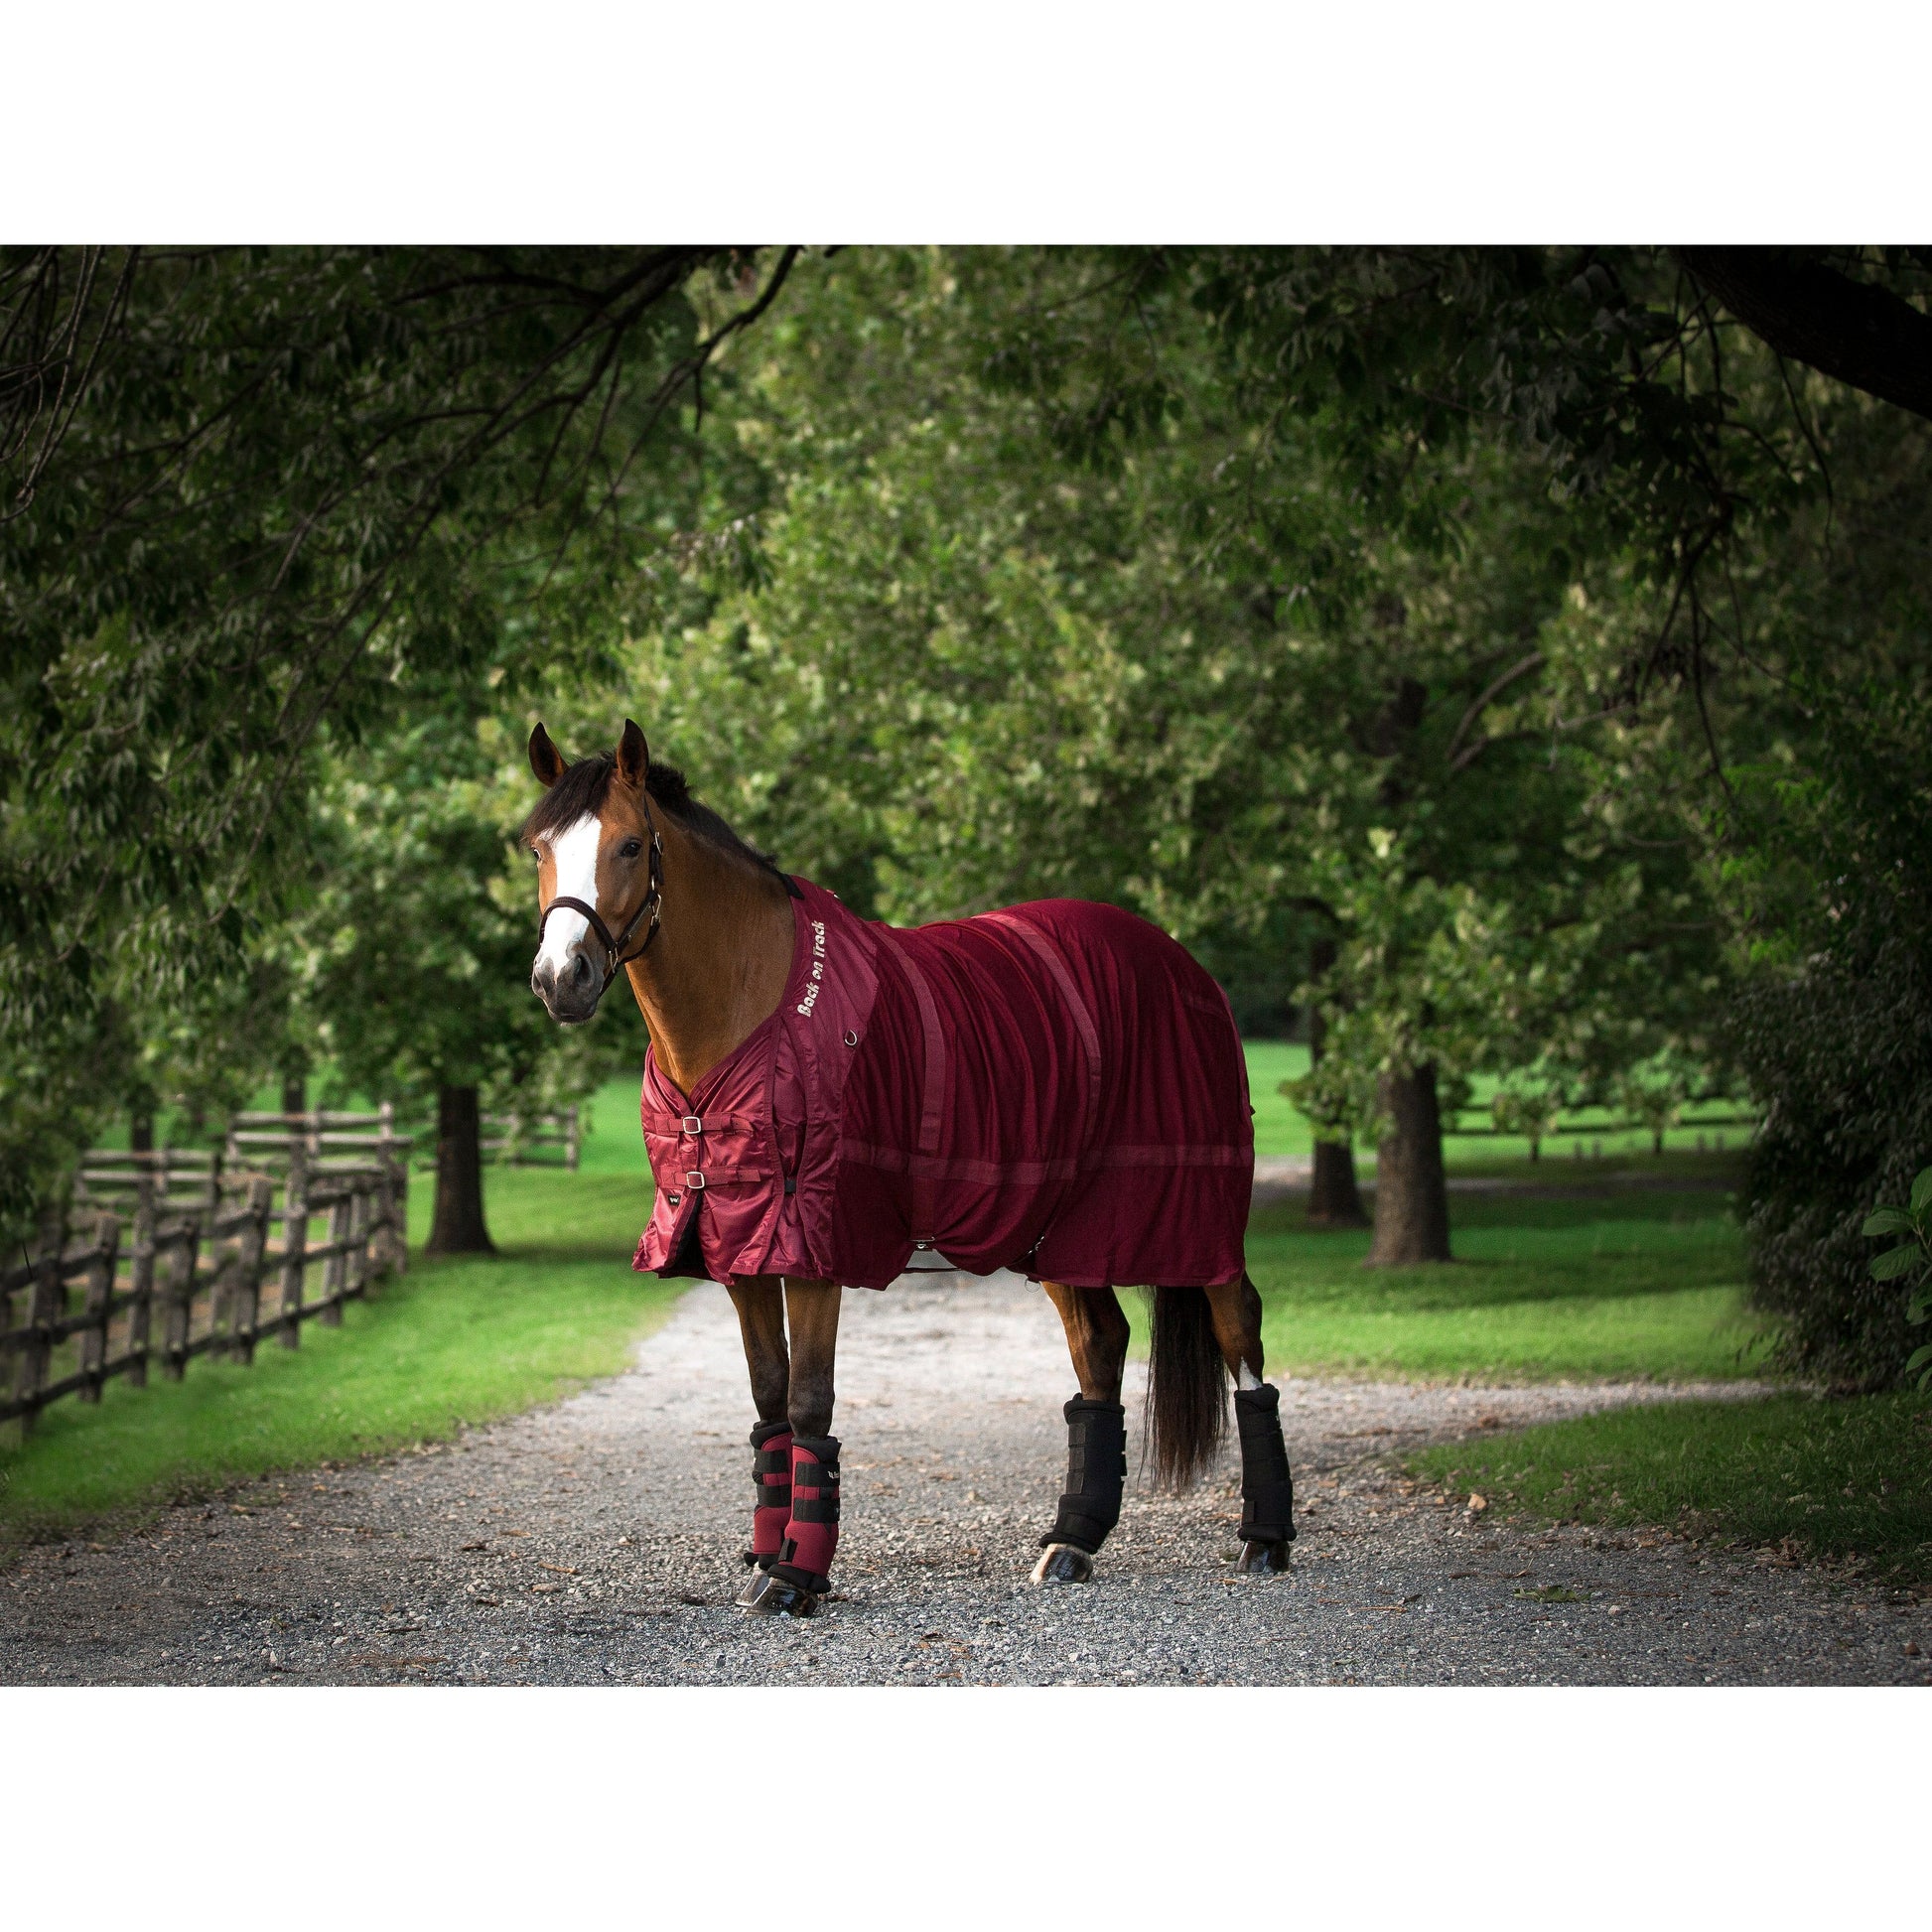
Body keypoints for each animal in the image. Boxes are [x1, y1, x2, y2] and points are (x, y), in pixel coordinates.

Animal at [523, 719, 1296, 1617]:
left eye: (629, 844)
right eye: (537, 848)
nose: (561, 979)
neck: (750, 1008)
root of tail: (1181, 964)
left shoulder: (815, 1240)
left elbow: (809, 1400)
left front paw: (797, 1575)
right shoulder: (733, 1239)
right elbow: (768, 1399)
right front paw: (770, 1553)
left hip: (1194, 1213)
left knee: (1239, 1331)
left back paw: (1266, 1538)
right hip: (1060, 1229)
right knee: (1101, 1348)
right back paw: (1072, 1541)